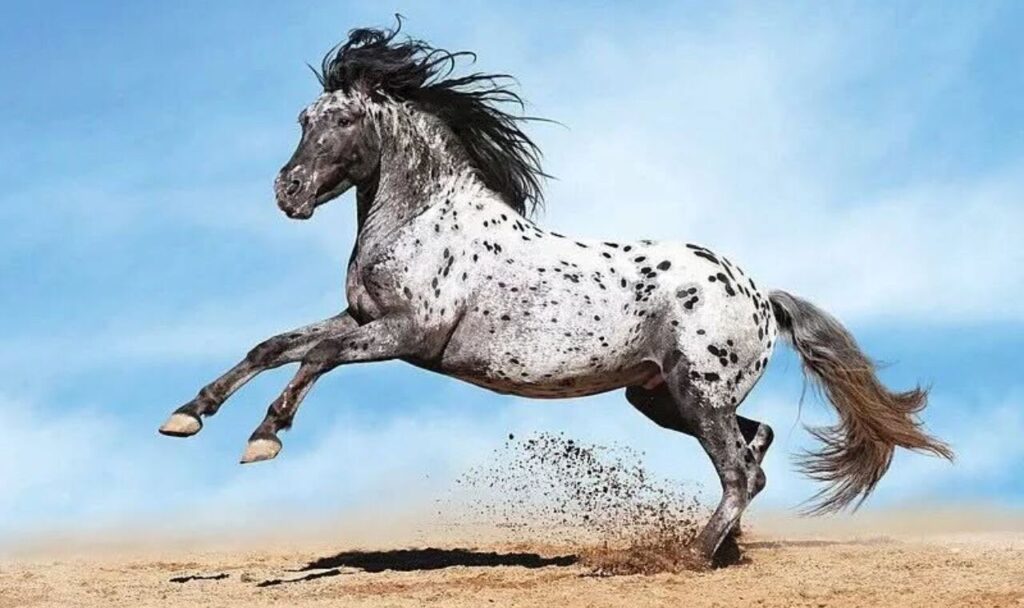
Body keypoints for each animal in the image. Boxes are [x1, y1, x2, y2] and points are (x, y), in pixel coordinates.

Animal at [158, 23, 952, 566]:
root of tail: (760, 294)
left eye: (346, 121)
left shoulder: (404, 336)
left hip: (696, 393)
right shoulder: (364, 319)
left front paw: (264, 437)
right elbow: (276, 345)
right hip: (659, 395)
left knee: (736, 467)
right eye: (303, 121)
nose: (288, 193)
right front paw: (189, 417)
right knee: (754, 451)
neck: (424, 219)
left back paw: (692, 556)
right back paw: (725, 549)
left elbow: (316, 357)